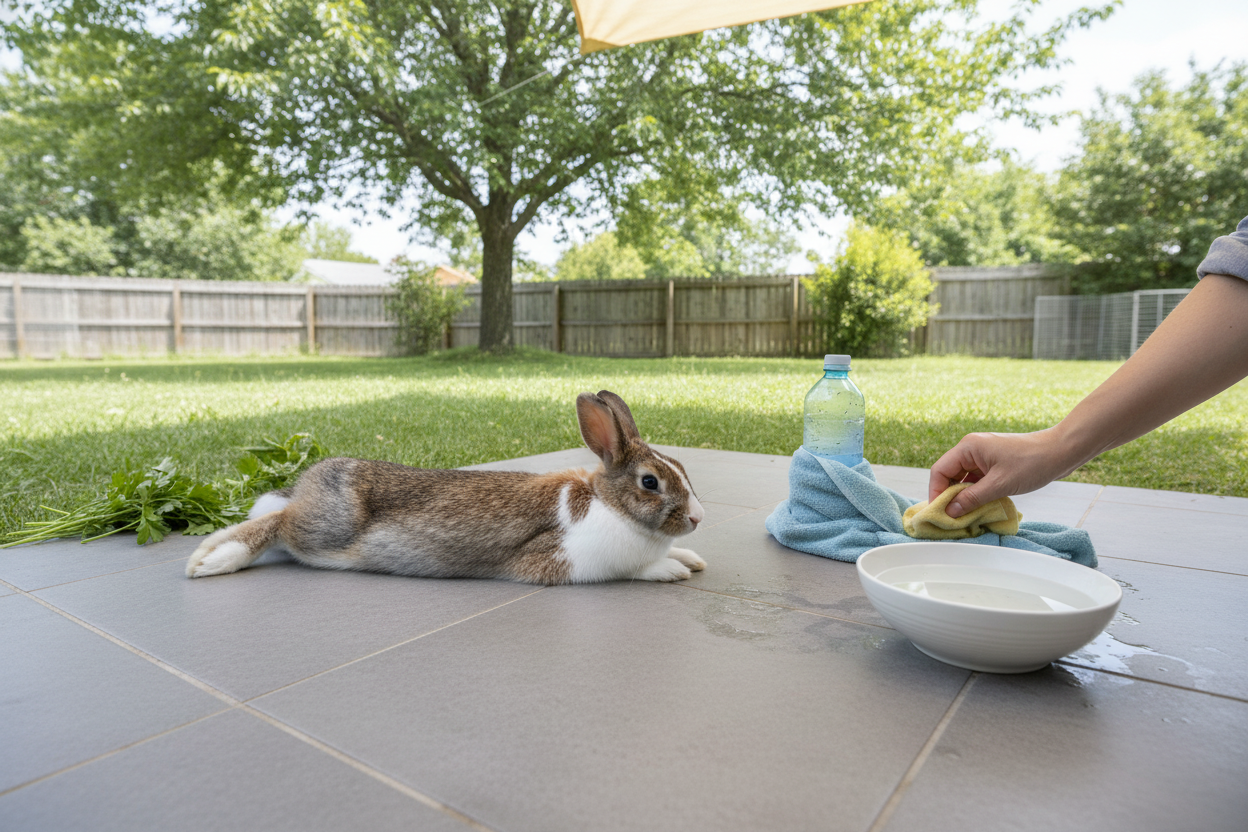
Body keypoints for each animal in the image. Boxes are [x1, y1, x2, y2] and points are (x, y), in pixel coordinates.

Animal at [185, 390, 706, 584]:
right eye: (650, 482)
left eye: (682, 468)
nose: (698, 518)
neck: (609, 505)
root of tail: (307, 483)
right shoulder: (573, 560)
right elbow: (634, 569)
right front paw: (671, 570)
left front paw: (692, 559)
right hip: (324, 527)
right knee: (277, 522)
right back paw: (210, 560)